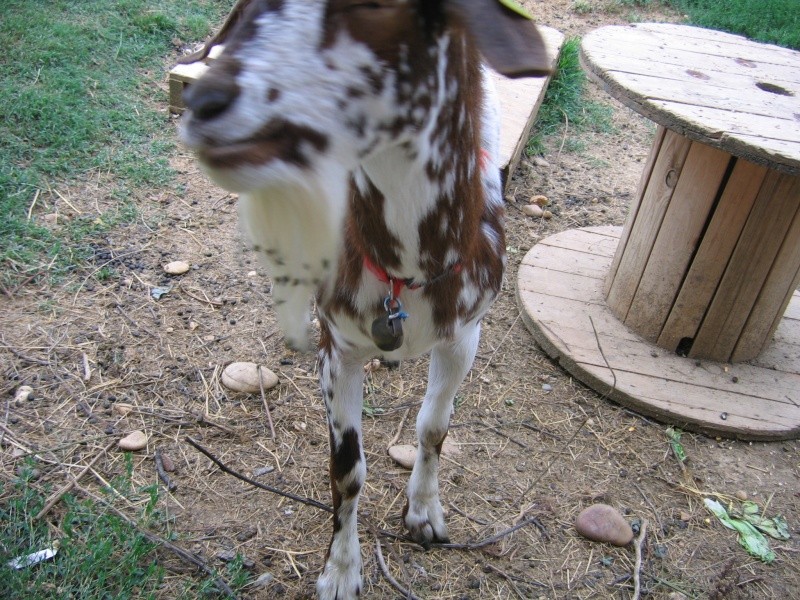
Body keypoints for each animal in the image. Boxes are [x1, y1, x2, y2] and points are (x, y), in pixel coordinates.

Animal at [178, 2, 548, 596]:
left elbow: (434, 426)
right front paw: (340, 572)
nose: (206, 100)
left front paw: (424, 515)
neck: (405, 274)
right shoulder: (339, 348)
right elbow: (347, 468)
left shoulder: (465, 336)